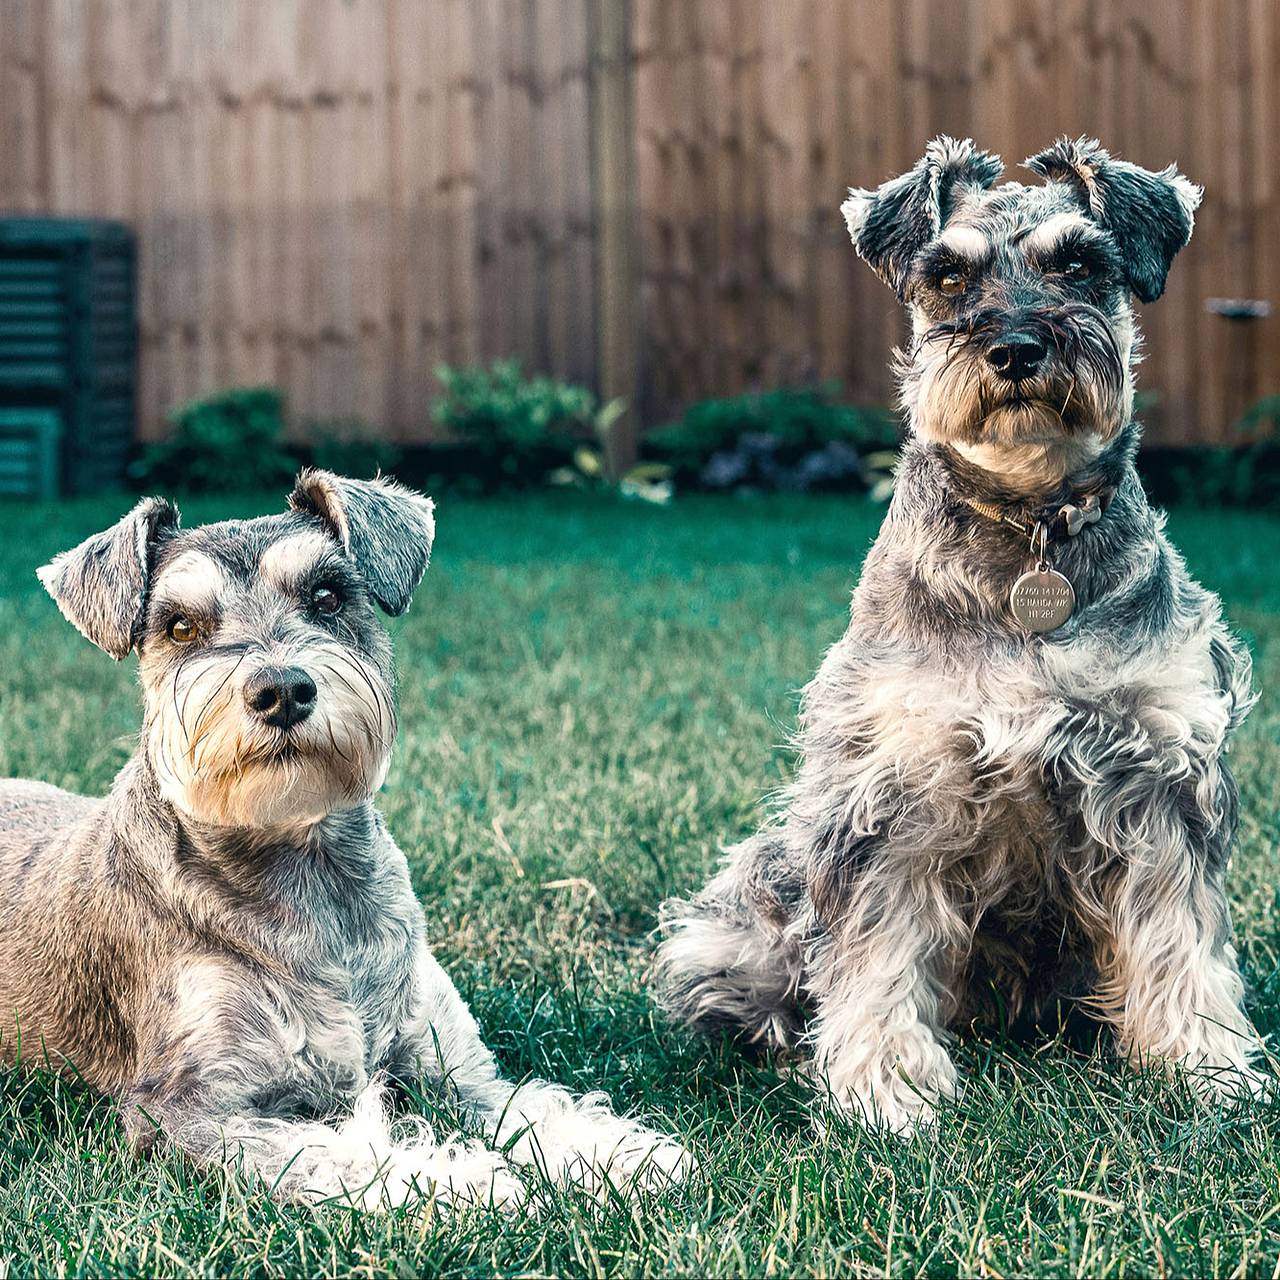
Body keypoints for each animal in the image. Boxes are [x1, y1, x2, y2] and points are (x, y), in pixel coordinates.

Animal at [2, 473, 691, 1208]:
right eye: (180, 626)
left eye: (327, 595)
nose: (281, 689)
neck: (307, 866)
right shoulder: (187, 1109)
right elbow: (336, 1151)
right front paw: (460, 1180)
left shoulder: (447, 1061)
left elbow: (530, 1105)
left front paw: (622, 1152)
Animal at [665, 132, 1264, 1131]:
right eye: (947, 275)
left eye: (1081, 264)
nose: (1016, 347)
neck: (1029, 526)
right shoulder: (894, 786)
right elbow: (875, 950)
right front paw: (886, 1086)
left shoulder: (1159, 774)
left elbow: (1181, 936)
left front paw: (1207, 1066)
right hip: (753, 898)